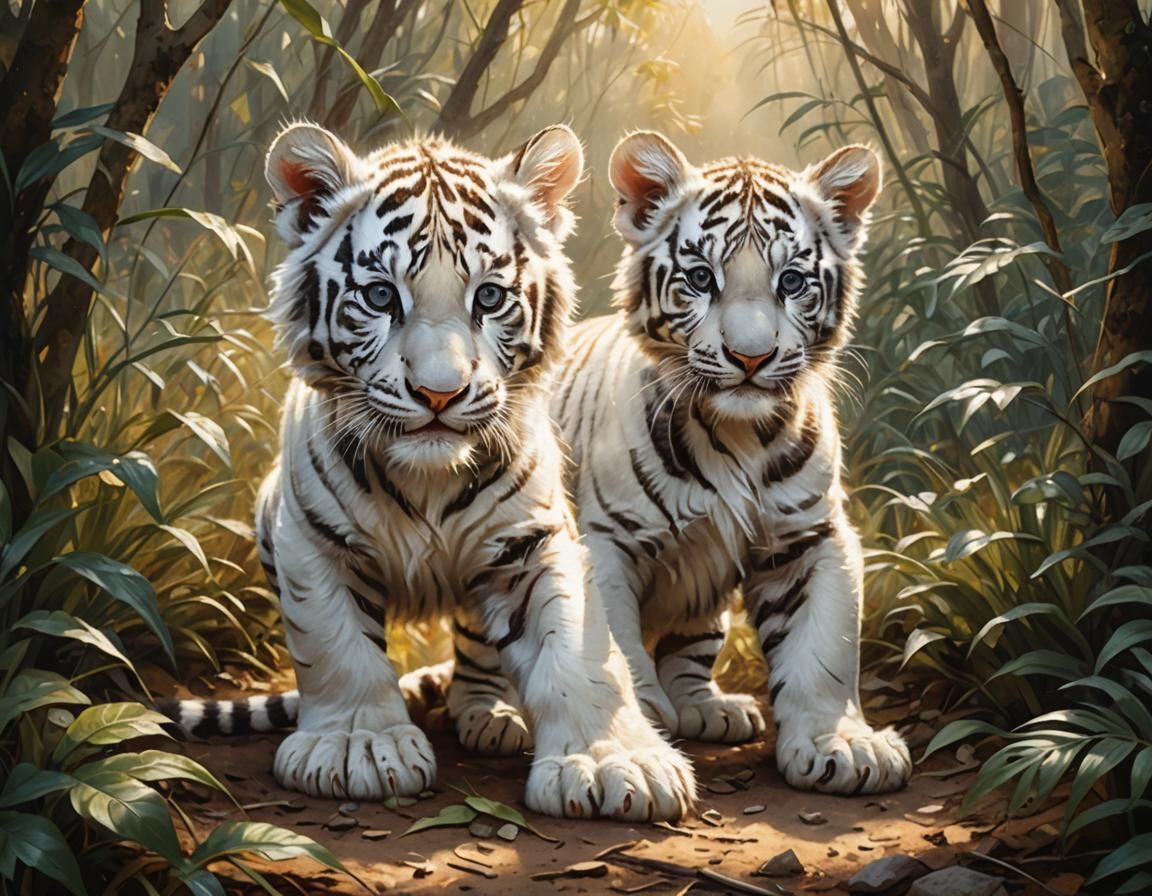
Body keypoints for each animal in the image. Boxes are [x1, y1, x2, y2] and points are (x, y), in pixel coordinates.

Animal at [159, 122, 695, 821]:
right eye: (380, 295)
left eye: (489, 296)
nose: (440, 393)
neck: (428, 479)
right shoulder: (309, 540)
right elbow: (339, 647)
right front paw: (359, 746)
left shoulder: (536, 540)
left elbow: (578, 649)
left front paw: (614, 763)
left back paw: (489, 714)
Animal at [551, 131, 912, 795]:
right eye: (700, 278)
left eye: (792, 281)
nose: (750, 357)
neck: (736, 435)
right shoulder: (610, 538)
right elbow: (614, 644)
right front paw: (640, 723)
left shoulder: (811, 535)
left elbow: (823, 648)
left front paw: (843, 745)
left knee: (692, 645)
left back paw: (709, 707)